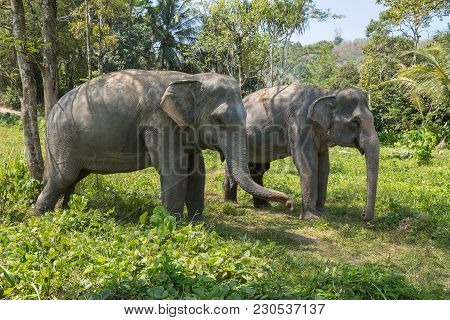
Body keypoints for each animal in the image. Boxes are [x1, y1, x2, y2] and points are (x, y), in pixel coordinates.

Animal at [36, 69, 296, 220]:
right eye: (219, 120)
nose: (289, 203)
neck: (189, 78)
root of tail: (51, 112)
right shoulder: (160, 122)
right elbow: (175, 170)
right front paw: (174, 224)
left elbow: (197, 171)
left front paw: (197, 224)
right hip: (63, 138)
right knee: (64, 176)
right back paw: (39, 216)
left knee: (74, 177)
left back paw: (65, 211)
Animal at [222, 85, 380, 220]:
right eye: (356, 122)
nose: (363, 214)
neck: (328, 93)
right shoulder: (299, 123)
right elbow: (307, 163)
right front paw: (312, 218)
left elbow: (324, 167)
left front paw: (323, 214)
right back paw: (233, 204)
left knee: (259, 169)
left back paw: (264, 206)